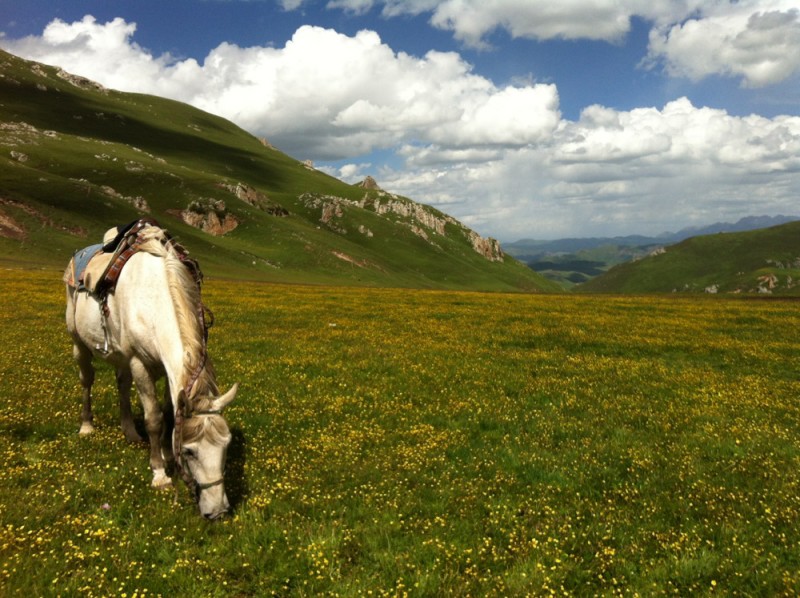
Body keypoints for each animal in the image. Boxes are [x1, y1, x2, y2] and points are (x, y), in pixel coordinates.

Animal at [65, 221, 238, 520]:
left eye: (226, 446)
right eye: (190, 452)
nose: (217, 511)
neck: (152, 299)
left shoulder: (166, 372)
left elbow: (169, 414)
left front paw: (168, 455)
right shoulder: (139, 363)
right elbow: (154, 418)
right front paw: (160, 473)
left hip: (121, 357)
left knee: (121, 384)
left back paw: (130, 433)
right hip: (79, 342)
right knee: (87, 379)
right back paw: (86, 425)